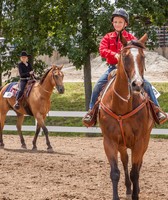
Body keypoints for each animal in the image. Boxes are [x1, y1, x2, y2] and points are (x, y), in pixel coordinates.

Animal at [99, 33, 154, 199]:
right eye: (125, 56)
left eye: (143, 56)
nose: (137, 84)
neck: (121, 107)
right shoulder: (109, 142)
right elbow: (115, 173)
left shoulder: (139, 142)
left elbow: (135, 172)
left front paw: (136, 194)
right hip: (122, 144)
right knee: (124, 161)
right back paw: (129, 188)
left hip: (145, 140)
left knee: (138, 163)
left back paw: (136, 189)